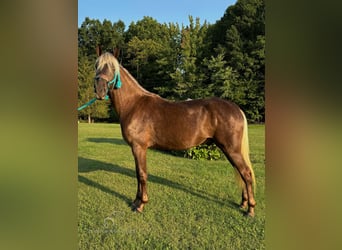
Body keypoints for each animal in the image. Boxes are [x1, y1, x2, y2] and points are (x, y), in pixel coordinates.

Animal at [93, 49, 256, 217]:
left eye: (112, 68)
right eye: (96, 66)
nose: (99, 89)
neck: (133, 104)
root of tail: (236, 108)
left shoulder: (139, 147)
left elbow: (142, 174)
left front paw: (141, 204)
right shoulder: (136, 148)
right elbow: (138, 174)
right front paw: (135, 202)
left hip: (231, 149)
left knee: (247, 173)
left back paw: (250, 209)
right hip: (228, 149)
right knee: (241, 172)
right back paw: (243, 204)